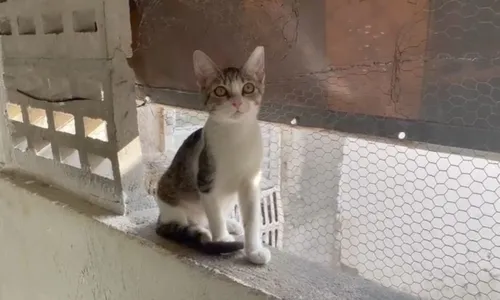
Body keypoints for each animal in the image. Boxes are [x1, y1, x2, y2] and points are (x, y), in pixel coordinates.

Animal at [154, 46, 272, 264]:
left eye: (248, 88)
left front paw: (254, 251)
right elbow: (215, 216)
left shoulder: (251, 181)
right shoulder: (206, 180)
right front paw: (223, 240)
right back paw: (201, 231)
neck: (236, 134)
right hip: (168, 192)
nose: (237, 102)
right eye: (220, 90)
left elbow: (252, 219)